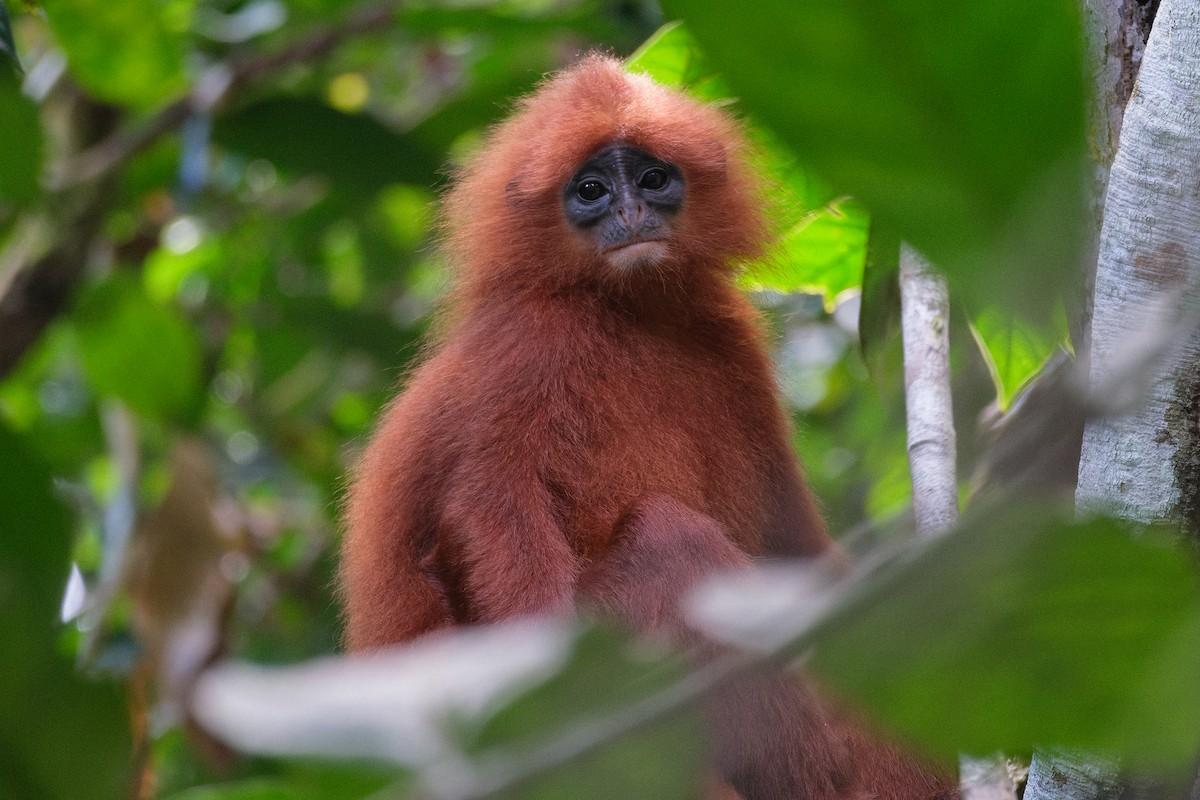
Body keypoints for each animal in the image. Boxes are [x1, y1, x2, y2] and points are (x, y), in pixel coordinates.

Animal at [340, 55, 956, 800]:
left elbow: (798, 551)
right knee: (666, 541)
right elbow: (483, 513)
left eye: (654, 180)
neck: (627, 315)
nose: (630, 212)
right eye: (592, 190)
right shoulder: (527, 344)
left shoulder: (729, 341)